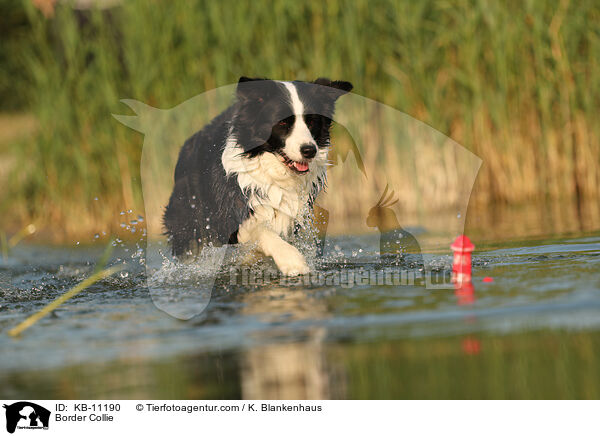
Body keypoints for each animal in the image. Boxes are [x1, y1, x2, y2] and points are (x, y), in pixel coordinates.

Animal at [163, 76, 352, 274]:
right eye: (282, 122)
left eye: (312, 121)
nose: (309, 150)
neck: (275, 174)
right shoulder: (233, 211)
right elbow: (262, 231)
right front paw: (293, 261)